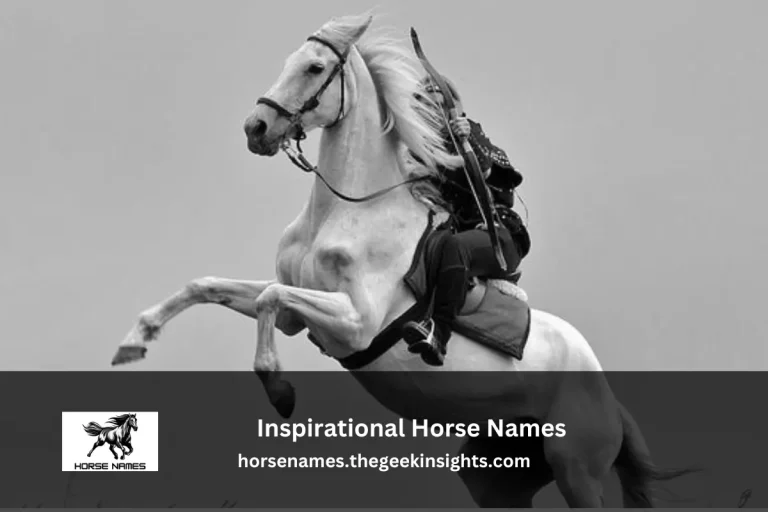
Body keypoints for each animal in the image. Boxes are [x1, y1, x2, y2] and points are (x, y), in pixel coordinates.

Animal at [111, 12, 694, 507]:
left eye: (314, 67)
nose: (256, 128)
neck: (350, 209)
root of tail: (608, 396)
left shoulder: (355, 323)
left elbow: (269, 300)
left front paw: (279, 389)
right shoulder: (302, 315)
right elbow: (209, 286)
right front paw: (135, 340)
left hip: (578, 470)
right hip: (496, 478)